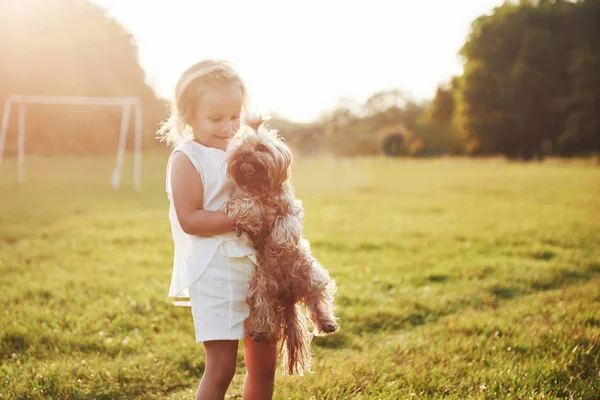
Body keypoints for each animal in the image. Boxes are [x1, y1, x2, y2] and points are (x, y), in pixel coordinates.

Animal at [223, 115, 340, 376]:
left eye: (260, 148)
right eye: (240, 149)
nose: (244, 156)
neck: (262, 188)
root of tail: (288, 296)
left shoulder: (290, 208)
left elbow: (285, 221)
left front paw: (280, 241)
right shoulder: (240, 198)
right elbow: (247, 203)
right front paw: (254, 214)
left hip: (310, 273)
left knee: (318, 300)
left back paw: (327, 322)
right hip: (261, 286)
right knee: (264, 311)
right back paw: (260, 331)